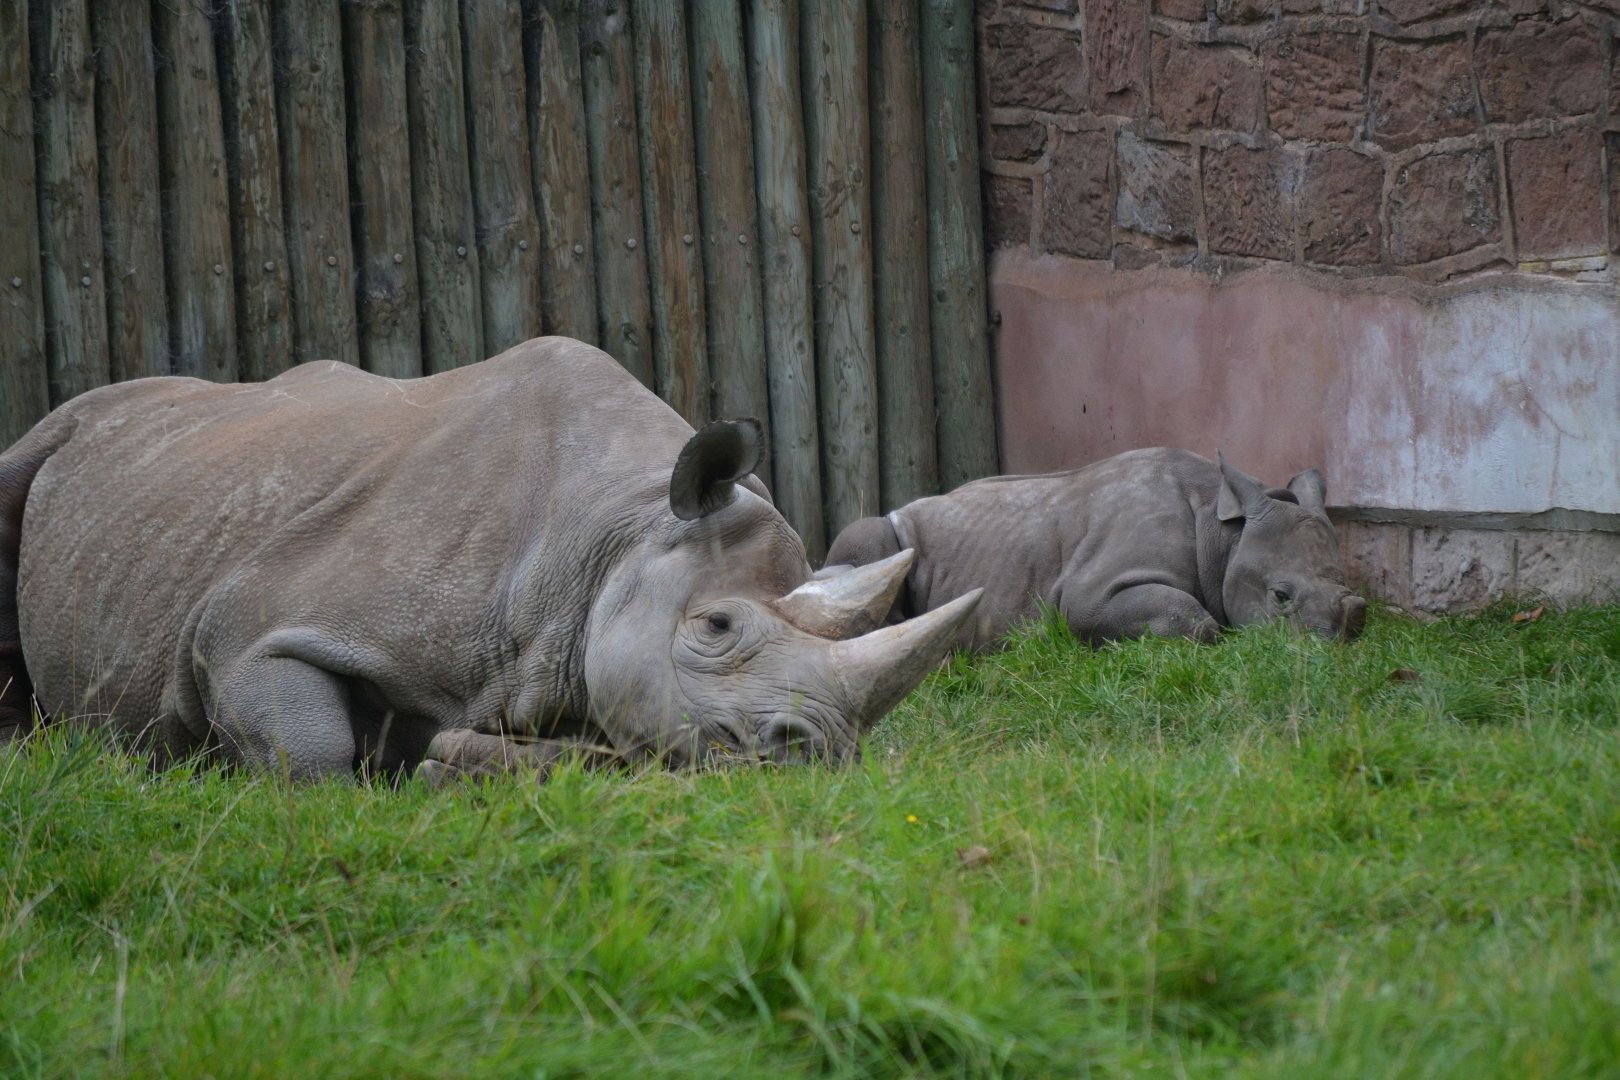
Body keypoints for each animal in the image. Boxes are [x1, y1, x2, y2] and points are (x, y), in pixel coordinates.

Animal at [0, 337, 981, 780]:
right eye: (713, 626)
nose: (818, 752)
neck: (616, 529)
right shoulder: (246, 628)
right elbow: (310, 752)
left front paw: (451, 765)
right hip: (75, 433)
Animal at [825, 447, 1366, 651]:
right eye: (1279, 597)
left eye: (1347, 583)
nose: (1344, 634)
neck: (1223, 534)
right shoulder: (1093, 592)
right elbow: (1194, 621)